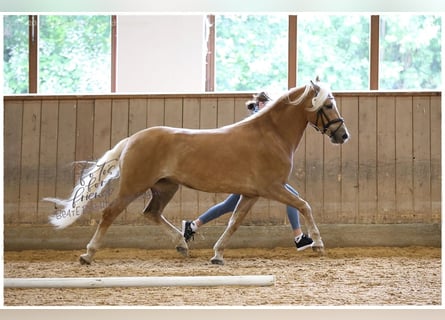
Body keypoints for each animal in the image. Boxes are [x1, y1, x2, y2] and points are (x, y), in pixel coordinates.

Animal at [46, 79, 350, 264]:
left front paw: (217, 255)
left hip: (165, 187)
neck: (271, 134)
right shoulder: (272, 188)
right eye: (327, 104)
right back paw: (88, 255)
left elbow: (233, 222)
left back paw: (182, 244)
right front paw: (318, 243)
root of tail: (132, 139)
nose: (343, 135)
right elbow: (304, 205)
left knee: (151, 213)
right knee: (109, 213)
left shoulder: (251, 193)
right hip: (133, 185)